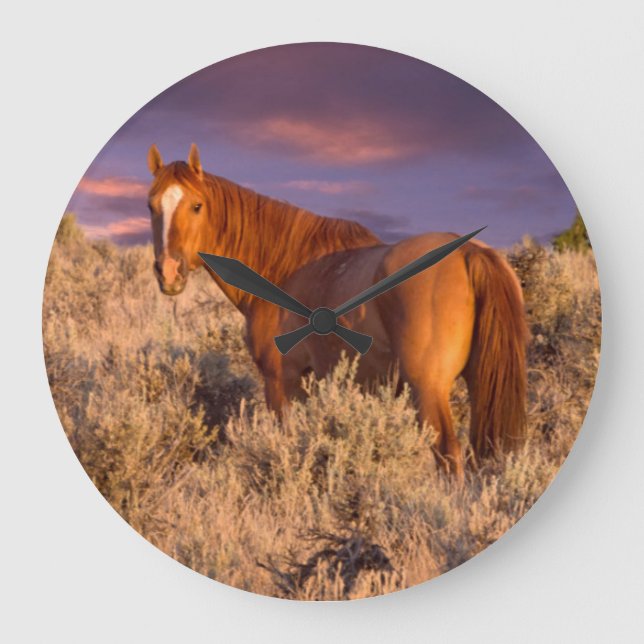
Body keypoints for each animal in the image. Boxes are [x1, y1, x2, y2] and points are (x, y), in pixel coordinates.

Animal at [147, 143, 529, 480]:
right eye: (151, 206)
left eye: (197, 205)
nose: (168, 272)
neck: (286, 267)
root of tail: (468, 252)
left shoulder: (281, 380)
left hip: (428, 388)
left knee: (448, 454)